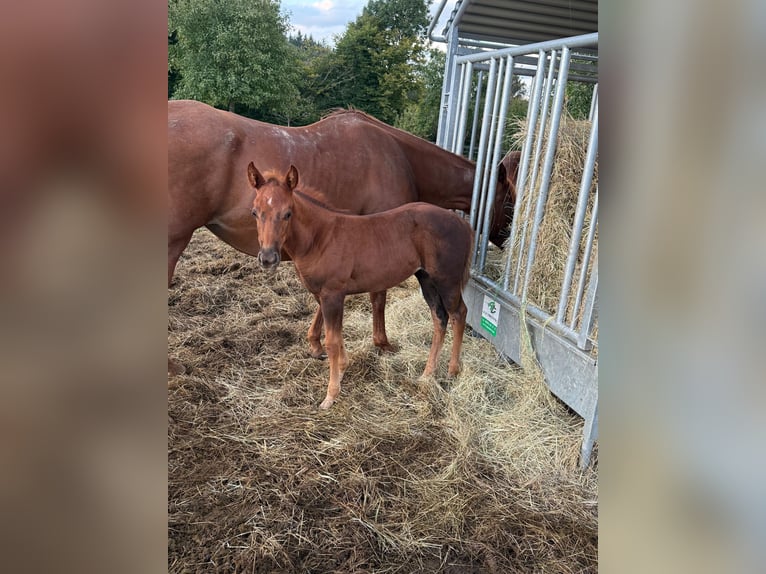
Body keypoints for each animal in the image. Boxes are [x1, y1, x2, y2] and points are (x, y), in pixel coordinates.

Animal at [168, 100, 510, 372]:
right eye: (511, 200)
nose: (508, 242)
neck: (398, 156)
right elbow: (377, 295)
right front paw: (381, 342)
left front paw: (316, 343)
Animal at [247, 162, 473, 409]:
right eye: (255, 212)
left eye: (287, 213)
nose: (268, 258)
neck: (320, 238)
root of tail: (462, 223)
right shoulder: (321, 295)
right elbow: (336, 335)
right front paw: (342, 369)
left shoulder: (333, 295)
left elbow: (332, 341)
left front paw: (330, 395)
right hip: (426, 279)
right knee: (439, 318)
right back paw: (427, 374)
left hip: (447, 281)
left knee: (459, 314)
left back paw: (452, 371)